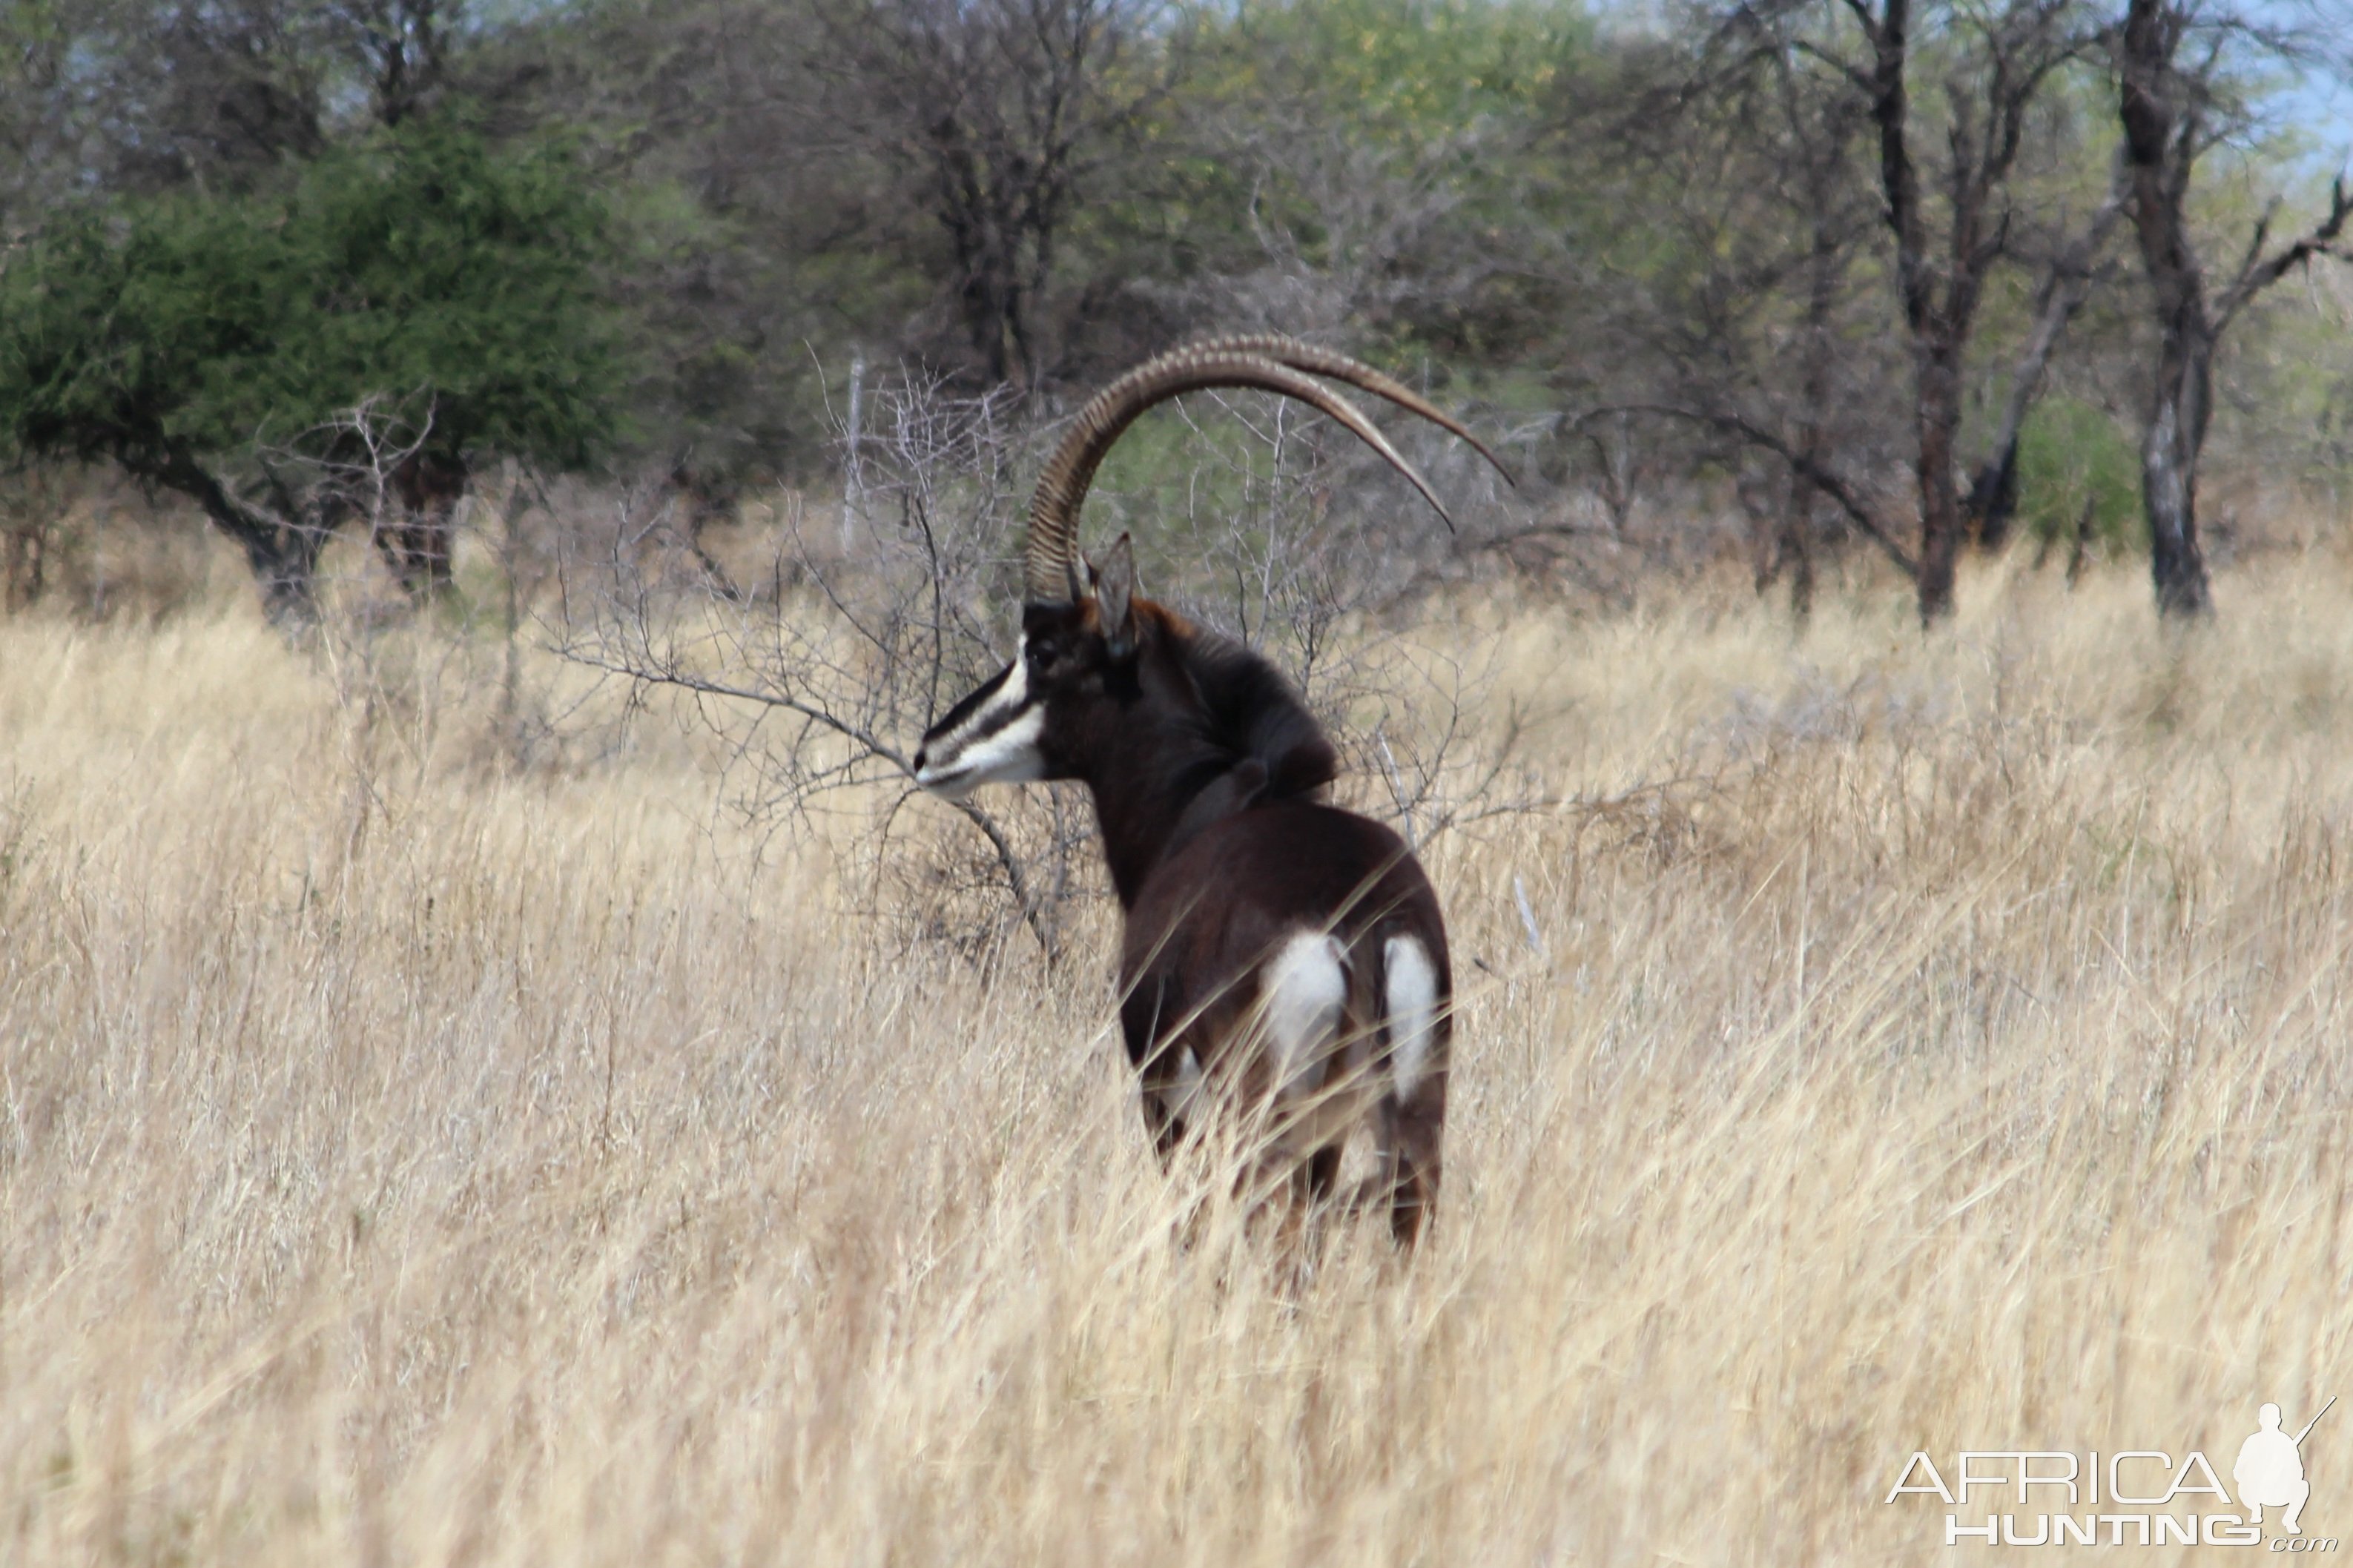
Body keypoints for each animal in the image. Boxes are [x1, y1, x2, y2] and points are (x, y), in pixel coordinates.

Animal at [908, 338, 1496, 1241]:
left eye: (1043, 650)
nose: (930, 750)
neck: (1206, 803)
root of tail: (1357, 928)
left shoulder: (1163, 1099)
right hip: (1408, 1121)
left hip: (1259, 1118)